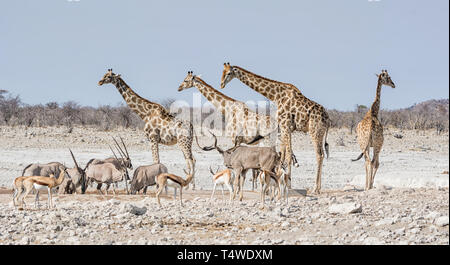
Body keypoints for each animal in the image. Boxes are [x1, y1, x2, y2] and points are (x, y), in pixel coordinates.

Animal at [221, 63, 330, 193]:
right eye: (222, 72)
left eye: (229, 73)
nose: (221, 84)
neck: (276, 96)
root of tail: (328, 119)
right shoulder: (285, 128)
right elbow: (283, 154)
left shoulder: (285, 125)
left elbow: (288, 155)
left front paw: (288, 185)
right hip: (320, 133)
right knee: (322, 154)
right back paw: (318, 188)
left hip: (314, 131)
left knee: (319, 154)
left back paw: (315, 188)